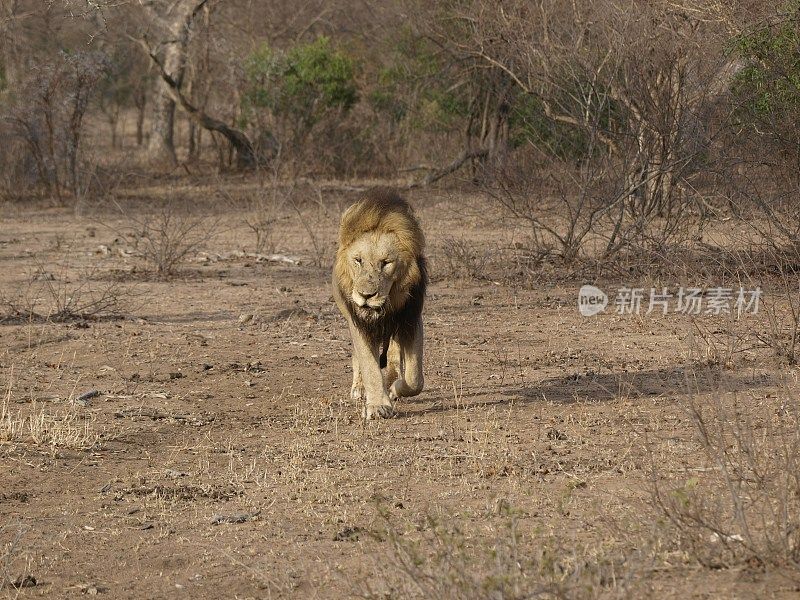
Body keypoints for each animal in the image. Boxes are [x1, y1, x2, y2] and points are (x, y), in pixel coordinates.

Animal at [332, 190, 428, 420]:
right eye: (358, 260)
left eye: (386, 263)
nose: (366, 295)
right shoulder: (359, 323)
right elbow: (369, 364)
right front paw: (377, 406)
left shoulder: (411, 319)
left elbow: (415, 378)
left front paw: (395, 388)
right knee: (357, 356)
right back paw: (359, 388)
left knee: (393, 352)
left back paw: (392, 381)